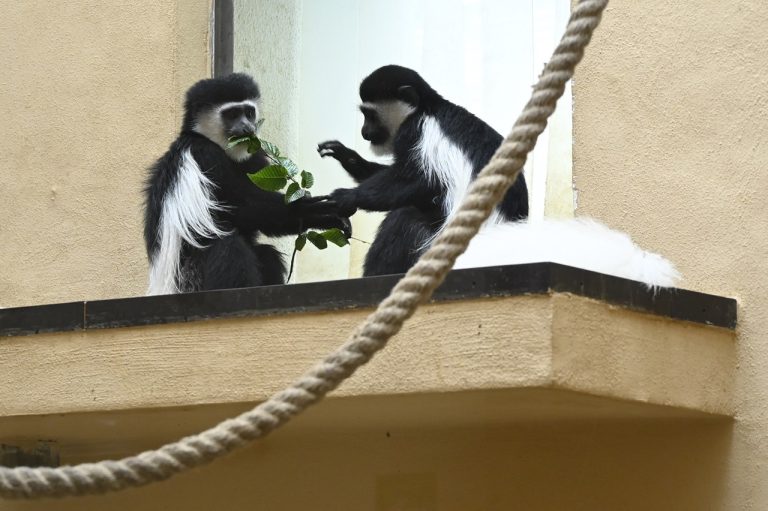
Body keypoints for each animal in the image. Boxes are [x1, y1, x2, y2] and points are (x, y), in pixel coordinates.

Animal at [145, 73, 348, 294]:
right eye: (232, 114)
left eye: (249, 113)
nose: (248, 128)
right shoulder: (205, 155)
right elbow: (242, 206)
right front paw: (311, 206)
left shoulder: (256, 157)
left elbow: (266, 221)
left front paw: (327, 218)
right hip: (191, 277)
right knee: (228, 246)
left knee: (267, 254)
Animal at [318, 66, 528, 278]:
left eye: (370, 115)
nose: (364, 132)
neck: (425, 108)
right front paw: (347, 157)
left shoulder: (413, 132)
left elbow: (420, 180)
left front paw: (347, 196)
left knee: (406, 216)